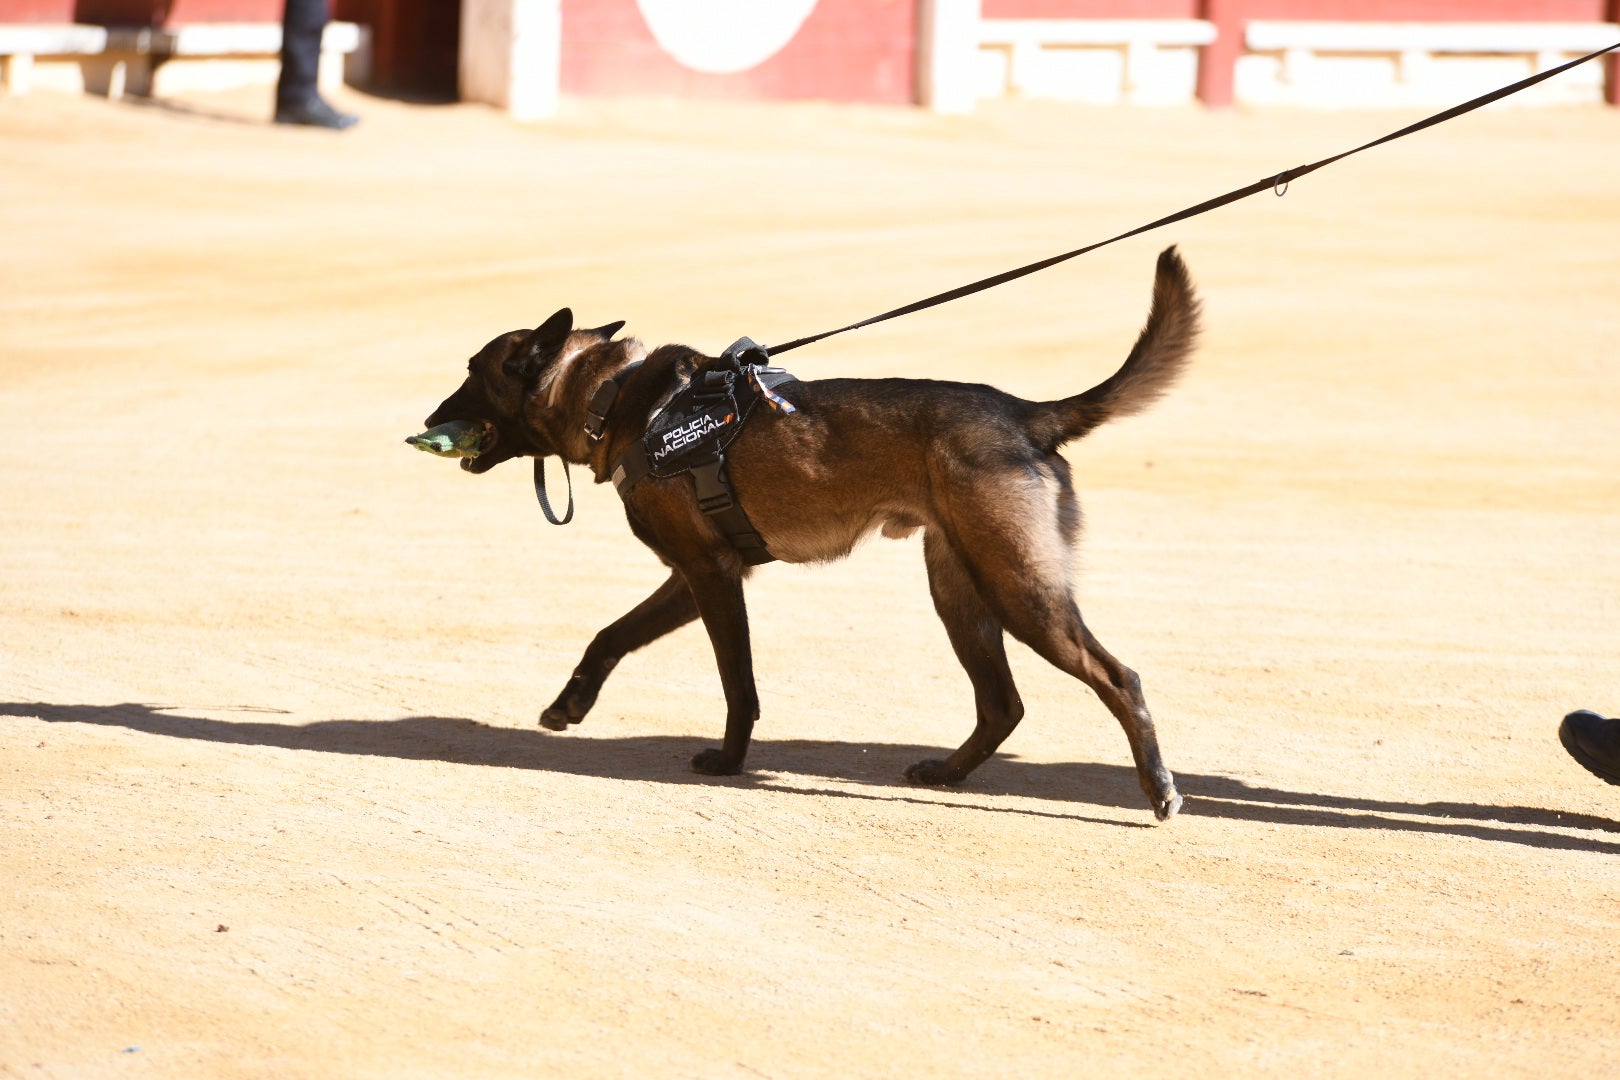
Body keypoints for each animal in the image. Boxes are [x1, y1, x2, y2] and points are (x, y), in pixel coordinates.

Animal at [424, 244, 1198, 819]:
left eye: (470, 372)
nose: (428, 416)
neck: (618, 398)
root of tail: (1024, 412)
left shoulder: (710, 577)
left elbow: (737, 683)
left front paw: (729, 762)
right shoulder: (694, 575)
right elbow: (609, 635)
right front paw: (571, 704)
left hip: (1018, 589)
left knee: (1117, 677)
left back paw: (1158, 790)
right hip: (960, 592)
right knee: (1002, 705)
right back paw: (948, 773)